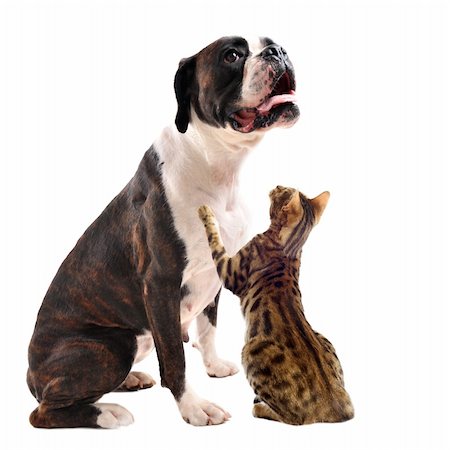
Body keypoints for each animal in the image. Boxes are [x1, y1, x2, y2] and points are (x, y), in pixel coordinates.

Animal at [27, 36, 298, 428]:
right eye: (232, 56)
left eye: (272, 44)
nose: (278, 53)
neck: (217, 163)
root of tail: (30, 374)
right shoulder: (161, 284)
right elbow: (174, 356)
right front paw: (195, 407)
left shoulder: (216, 271)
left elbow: (208, 327)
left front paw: (214, 366)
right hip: (113, 346)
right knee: (44, 412)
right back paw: (107, 413)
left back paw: (130, 381)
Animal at [199, 186, 354, 426]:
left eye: (284, 190)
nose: (276, 186)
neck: (290, 247)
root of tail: (335, 403)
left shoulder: (230, 272)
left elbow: (216, 240)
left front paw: (207, 213)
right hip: (325, 338)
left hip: (250, 351)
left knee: (292, 418)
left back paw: (260, 406)